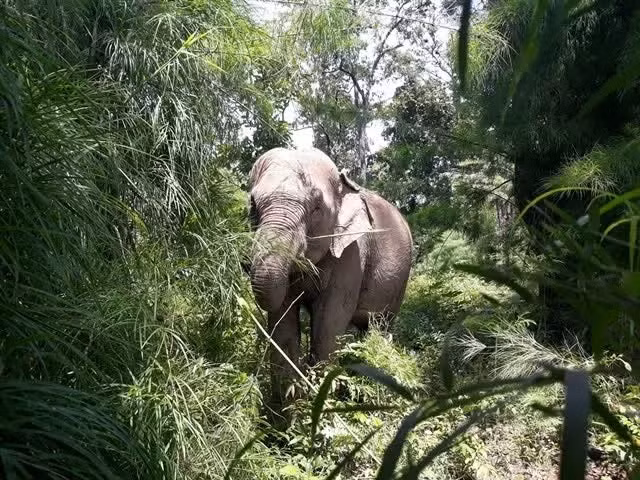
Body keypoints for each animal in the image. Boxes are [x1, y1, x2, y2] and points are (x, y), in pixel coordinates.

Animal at [245, 147, 412, 418]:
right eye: (253, 204)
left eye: (316, 207)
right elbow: (283, 324)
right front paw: (287, 417)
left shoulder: (352, 253)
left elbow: (328, 324)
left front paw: (316, 410)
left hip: (400, 283)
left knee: (380, 327)